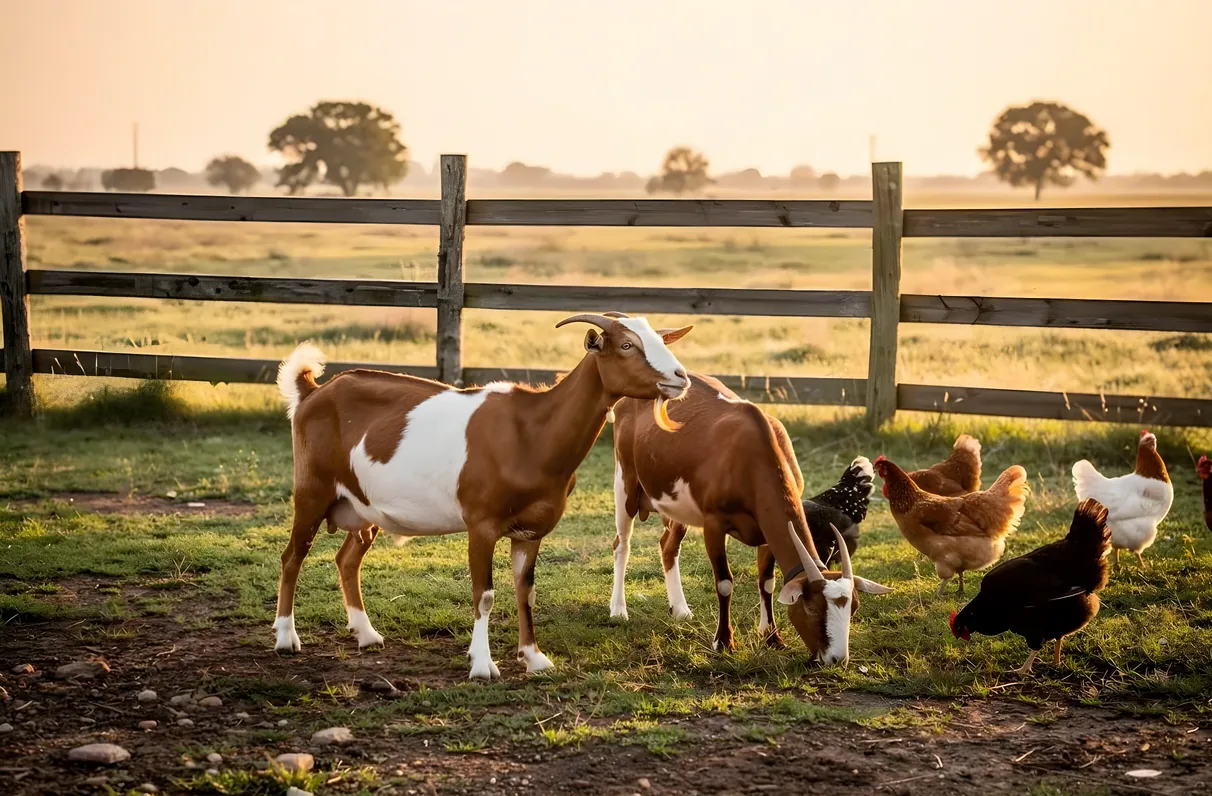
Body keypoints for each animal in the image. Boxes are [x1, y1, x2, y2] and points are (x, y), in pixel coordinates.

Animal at [274, 313, 692, 679]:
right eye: (626, 345)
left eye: (659, 341)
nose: (681, 377)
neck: (532, 432)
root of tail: (313, 391)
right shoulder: (481, 524)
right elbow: (484, 594)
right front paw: (482, 665)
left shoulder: (532, 530)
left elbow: (526, 591)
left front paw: (533, 657)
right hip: (312, 491)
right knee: (292, 556)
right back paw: (286, 638)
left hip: (362, 506)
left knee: (347, 559)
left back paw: (366, 634)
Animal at [611, 372, 891, 663]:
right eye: (812, 608)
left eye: (853, 608)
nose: (836, 659)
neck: (751, 452)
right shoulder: (714, 524)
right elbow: (724, 583)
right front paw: (724, 641)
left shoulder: (766, 531)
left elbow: (767, 582)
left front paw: (772, 637)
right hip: (625, 482)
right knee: (622, 544)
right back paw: (618, 610)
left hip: (677, 506)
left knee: (668, 546)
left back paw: (680, 609)